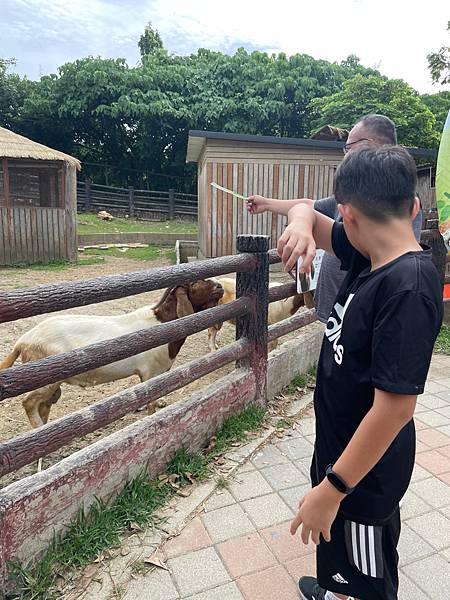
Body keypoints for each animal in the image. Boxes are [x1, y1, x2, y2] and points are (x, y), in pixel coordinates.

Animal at [0, 278, 225, 428]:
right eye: (195, 283)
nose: (220, 286)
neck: (161, 322)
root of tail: (22, 341)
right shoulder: (149, 372)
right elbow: (150, 400)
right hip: (46, 377)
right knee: (28, 402)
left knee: (43, 404)